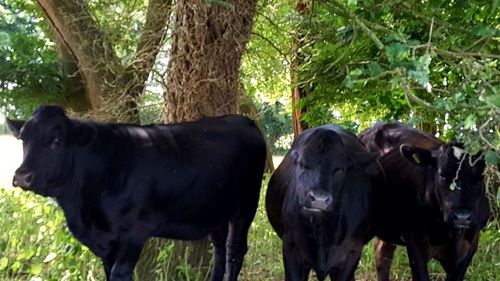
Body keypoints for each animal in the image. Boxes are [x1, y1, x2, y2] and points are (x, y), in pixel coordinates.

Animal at [6, 105, 266, 280]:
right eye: (23, 139)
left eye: (56, 140)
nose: (22, 176)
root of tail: (246, 122)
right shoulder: (106, 243)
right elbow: (109, 273)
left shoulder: (135, 231)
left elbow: (120, 273)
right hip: (215, 211)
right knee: (219, 250)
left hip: (245, 206)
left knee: (234, 251)